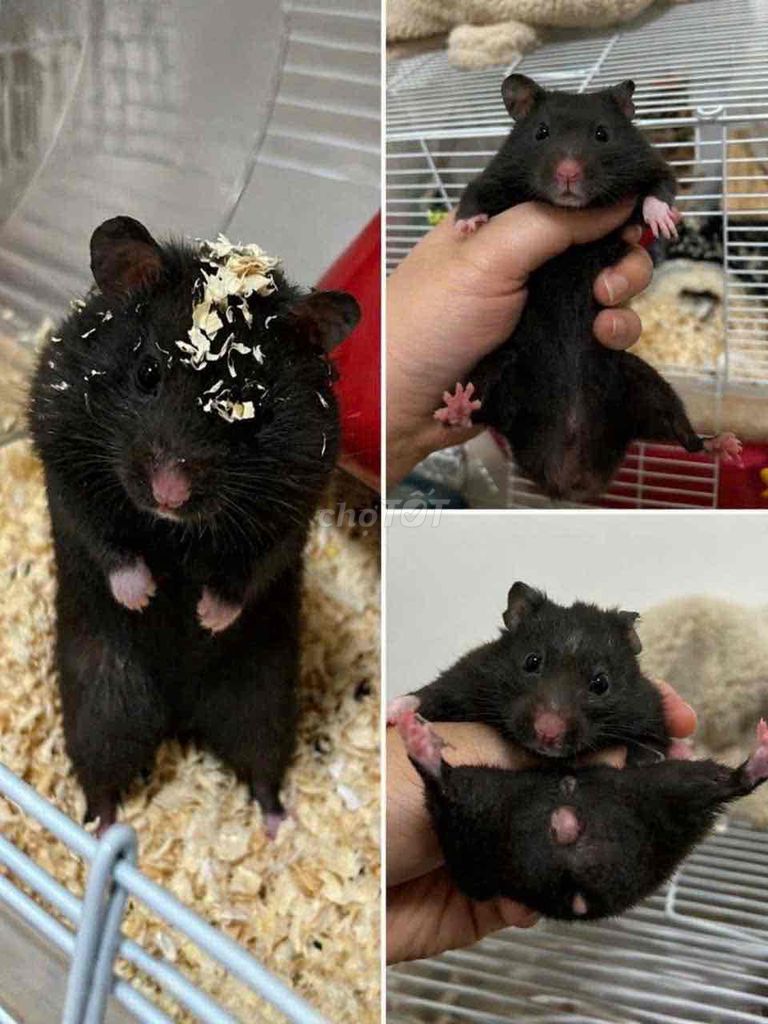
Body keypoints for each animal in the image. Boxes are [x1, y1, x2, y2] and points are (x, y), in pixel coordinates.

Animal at [29, 215, 360, 835]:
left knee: (262, 770)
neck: (168, 530)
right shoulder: (63, 464)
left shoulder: (291, 511)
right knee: (101, 777)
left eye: (248, 400)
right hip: (104, 698)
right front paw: (146, 595)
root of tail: (180, 713)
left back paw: (276, 827)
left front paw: (207, 617)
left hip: (259, 698)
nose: (169, 494)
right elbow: (105, 543)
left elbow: (250, 569)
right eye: (147, 373)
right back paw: (104, 832)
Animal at [388, 582, 670, 766]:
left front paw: (650, 758)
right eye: (531, 661)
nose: (547, 733)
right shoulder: (468, 676)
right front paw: (396, 713)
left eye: (601, 683)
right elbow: (429, 695)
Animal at [434, 75, 741, 500]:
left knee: (682, 436)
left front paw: (663, 222)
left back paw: (724, 444)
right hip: (500, 369)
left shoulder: (650, 165)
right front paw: (468, 229)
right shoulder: (495, 176)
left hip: (644, 384)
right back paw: (457, 405)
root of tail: (570, 480)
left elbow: (661, 187)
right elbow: (472, 196)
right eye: (541, 133)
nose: (568, 174)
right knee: (478, 409)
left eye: (602, 134)